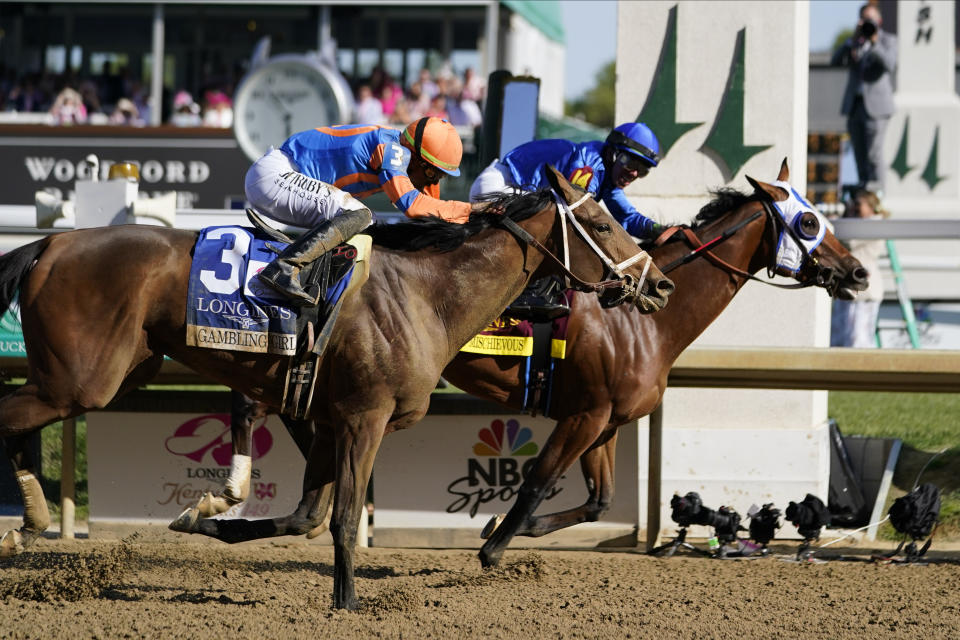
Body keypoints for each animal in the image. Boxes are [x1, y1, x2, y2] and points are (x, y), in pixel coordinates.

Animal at [0, 168, 672, 608]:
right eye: (599, 222)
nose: (659, 284)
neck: (425, 297)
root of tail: (52, 241)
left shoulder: (324, 418)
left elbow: (307, 516)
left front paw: (202, 516)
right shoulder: (360, 418)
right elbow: (345, 517)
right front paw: (346, 604)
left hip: (110, 372)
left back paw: (28, 520)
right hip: (78, 382)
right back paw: (27, 519)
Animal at [202, 158, 872, 568]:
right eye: (809, 220)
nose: (859, 272)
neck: (643, 323)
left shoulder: (604, 419)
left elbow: (598, 500)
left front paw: (503, 529)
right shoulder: (584, 414)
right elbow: (539, 478)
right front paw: (494, 542)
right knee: (256, 404)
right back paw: (232, 491)